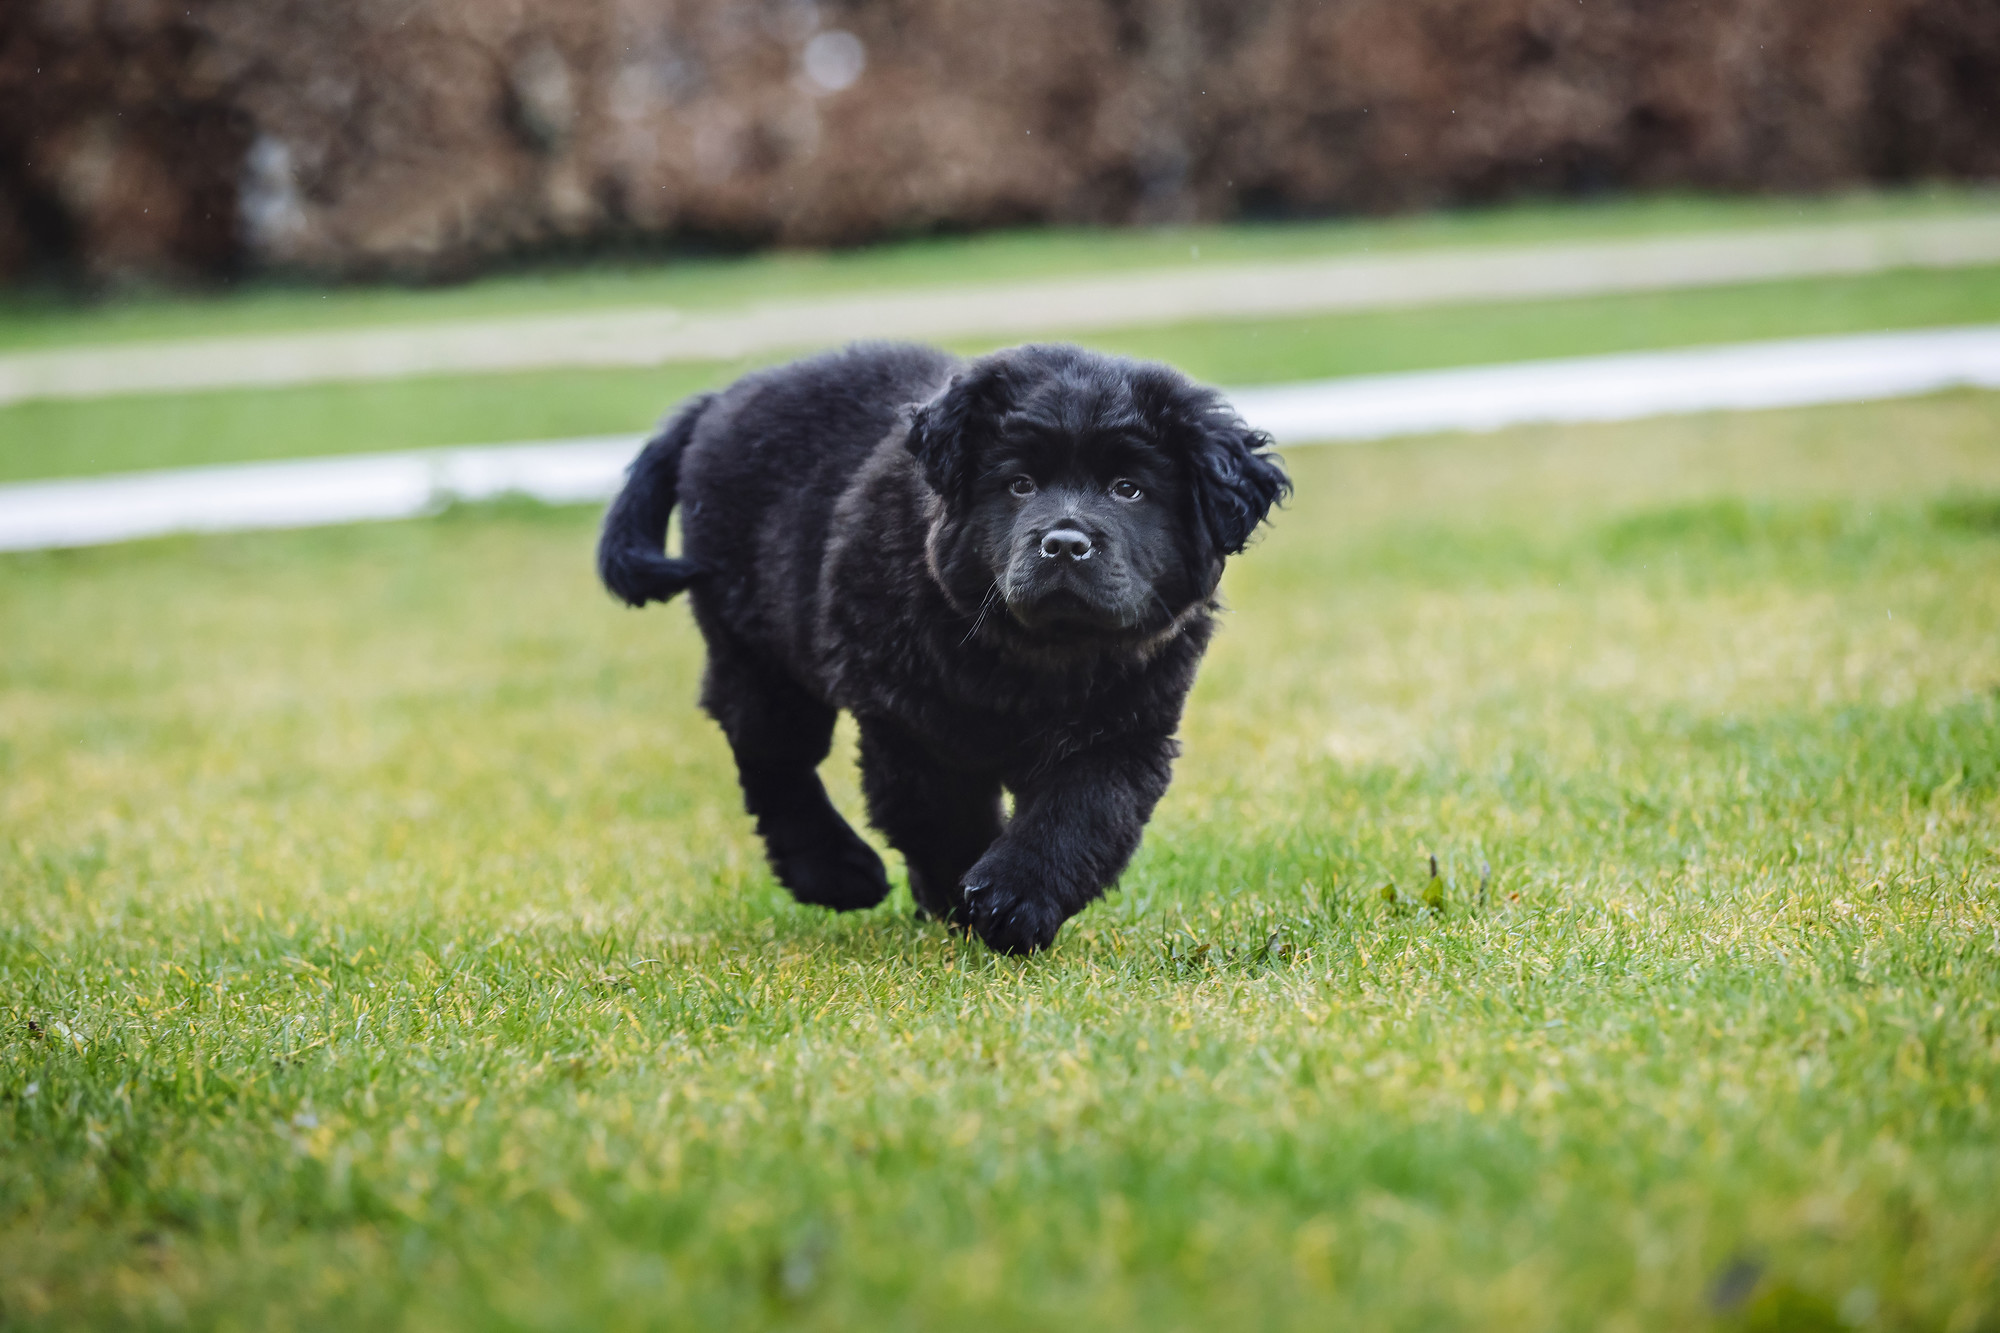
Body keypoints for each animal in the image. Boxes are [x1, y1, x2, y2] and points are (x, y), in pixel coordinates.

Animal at [596, 342, 1280, 944]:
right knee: (774, 761)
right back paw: (837, 874)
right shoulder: (911, 725)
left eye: (1128, 489)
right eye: (1020, 484)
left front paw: (1013, 901)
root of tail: (717, 401)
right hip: (757, 650)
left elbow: (1078, 816)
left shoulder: (1128, 728)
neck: (1039, 658)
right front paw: (965, 904)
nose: (1063, 543)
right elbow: (944, 819)